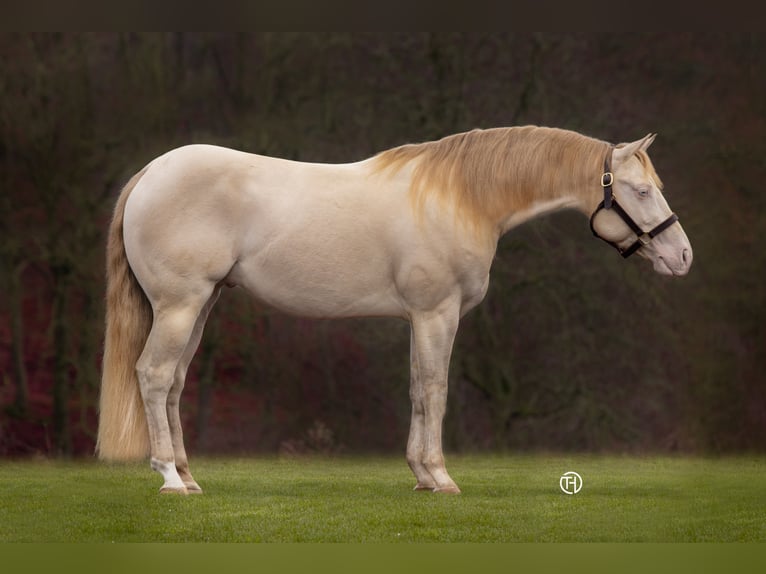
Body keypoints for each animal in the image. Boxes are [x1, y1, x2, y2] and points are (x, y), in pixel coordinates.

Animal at [96, 126, 692, 494]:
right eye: (641, 191)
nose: (682, 256)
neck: (460, 197)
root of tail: (149, 175)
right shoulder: (437, 313)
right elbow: (435, 389)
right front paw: (440, 477)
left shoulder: (420, 318)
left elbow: (415, 389)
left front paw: (421, 477)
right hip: (180, 306)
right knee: (153, 376)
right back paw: (170, 480)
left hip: (201, 305)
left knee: (174, 383)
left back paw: (188, 475)